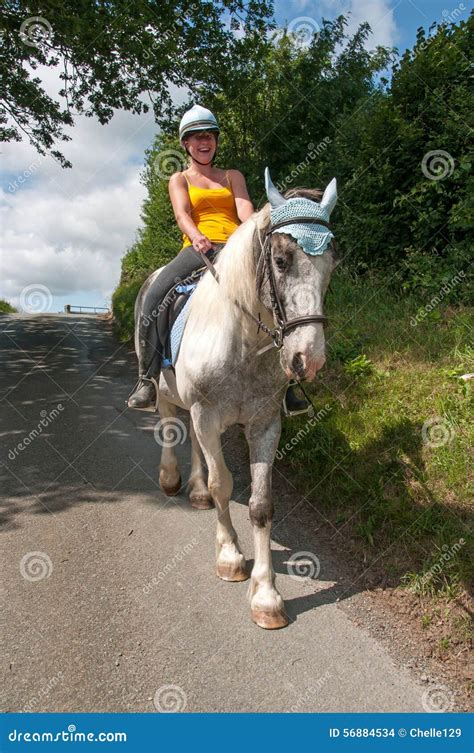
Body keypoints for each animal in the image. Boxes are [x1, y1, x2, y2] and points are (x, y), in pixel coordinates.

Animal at [135, 170, 338, 628]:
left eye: (332, 263)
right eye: (280, 260)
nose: (308, 358)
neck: (241, 342)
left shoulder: (264, 424)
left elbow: (261, 505)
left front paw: (266, 596)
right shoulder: (207, 414)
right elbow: (223, 483)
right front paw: (229, 557)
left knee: (194, 444)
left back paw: (195, 492)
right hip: (168, 397)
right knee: (169, 430)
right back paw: (172, 479)